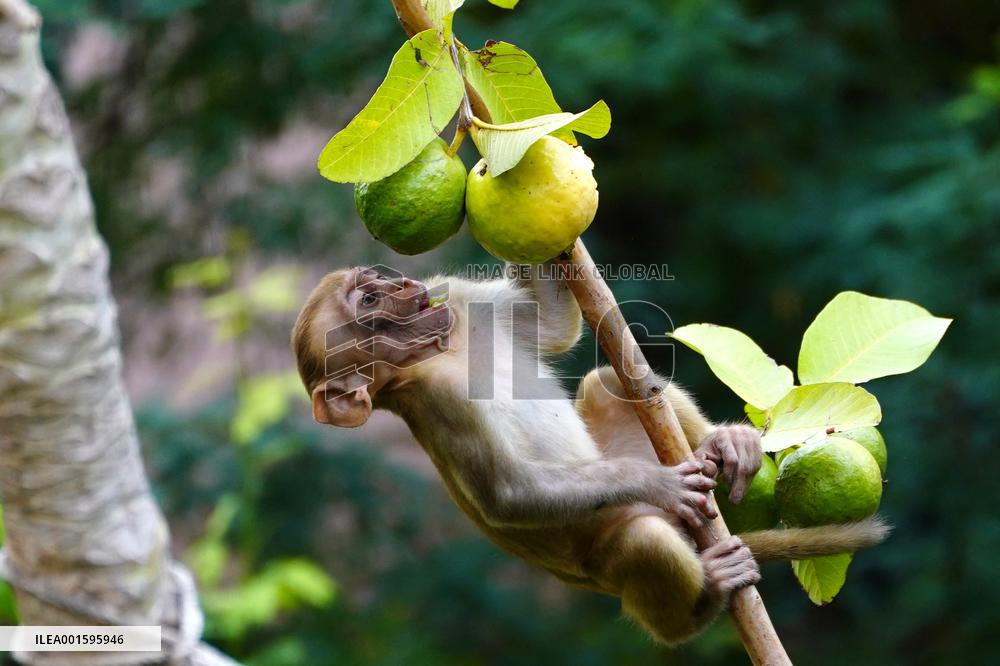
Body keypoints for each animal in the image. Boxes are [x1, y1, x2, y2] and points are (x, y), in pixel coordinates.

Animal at [291, 264, 889, 645]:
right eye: (368, 301)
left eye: (374, 279)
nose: (401, 282)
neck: (442, 350)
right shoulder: (439, 402)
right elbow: (509, 494)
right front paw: (658, 483)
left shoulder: (456, 298)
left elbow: (552, 325)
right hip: (615, 558)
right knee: (643, 541)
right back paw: (701, 603)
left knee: (613, 383)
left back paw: (721, 447)